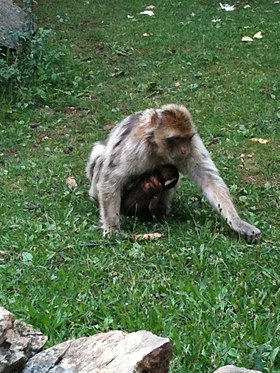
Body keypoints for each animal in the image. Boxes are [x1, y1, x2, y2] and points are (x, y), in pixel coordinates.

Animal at [86, 104, 262, 241]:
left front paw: (239, 223)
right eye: (176, 139)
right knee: (101, 159)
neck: (157, 149)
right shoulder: (133, 148)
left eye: (186, 139)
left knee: (170, 172)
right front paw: (112, 228)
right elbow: (111, 179)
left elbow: (209, 180)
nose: (184, 150)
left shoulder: (193, 144)